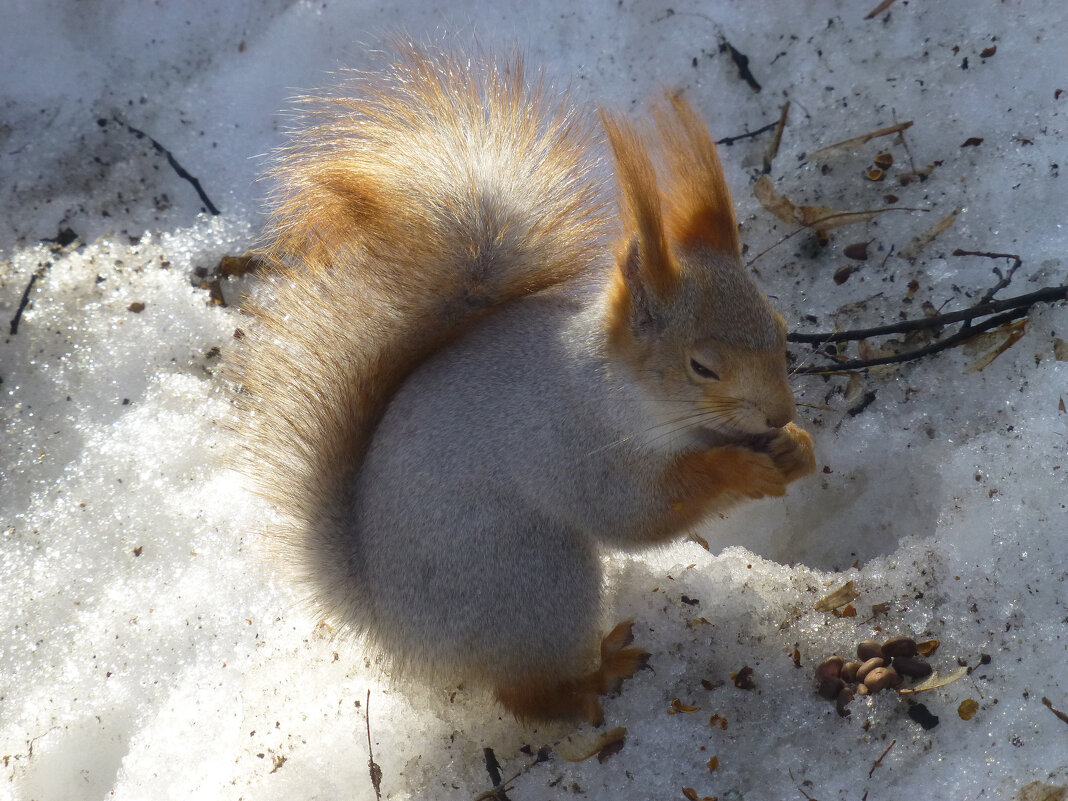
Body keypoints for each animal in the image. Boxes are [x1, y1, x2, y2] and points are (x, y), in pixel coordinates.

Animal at [231, 45, 815, 726]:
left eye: (782, 330)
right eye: (703, 367)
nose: (778, 413)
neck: (619, 392)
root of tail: (390, 622)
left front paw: (797, 449)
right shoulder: (572, 445)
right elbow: (635, 512)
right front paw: (737, 469)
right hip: (532, 578)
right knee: (524, 694)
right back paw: (592, 680)